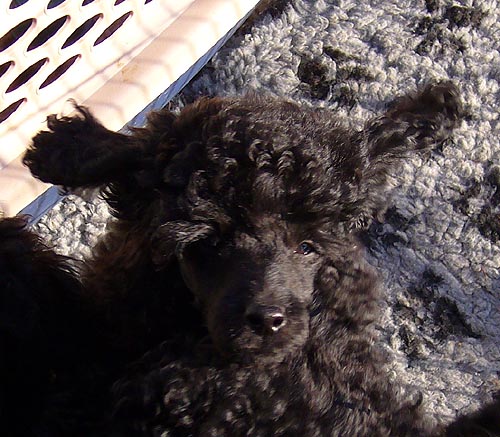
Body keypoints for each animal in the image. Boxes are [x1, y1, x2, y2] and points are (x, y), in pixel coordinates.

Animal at [1, 81, 497, 435]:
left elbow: (364, 153)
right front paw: (69, 147)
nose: (267, 322)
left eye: (306, 247)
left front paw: (428, 111)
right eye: (208, 243)